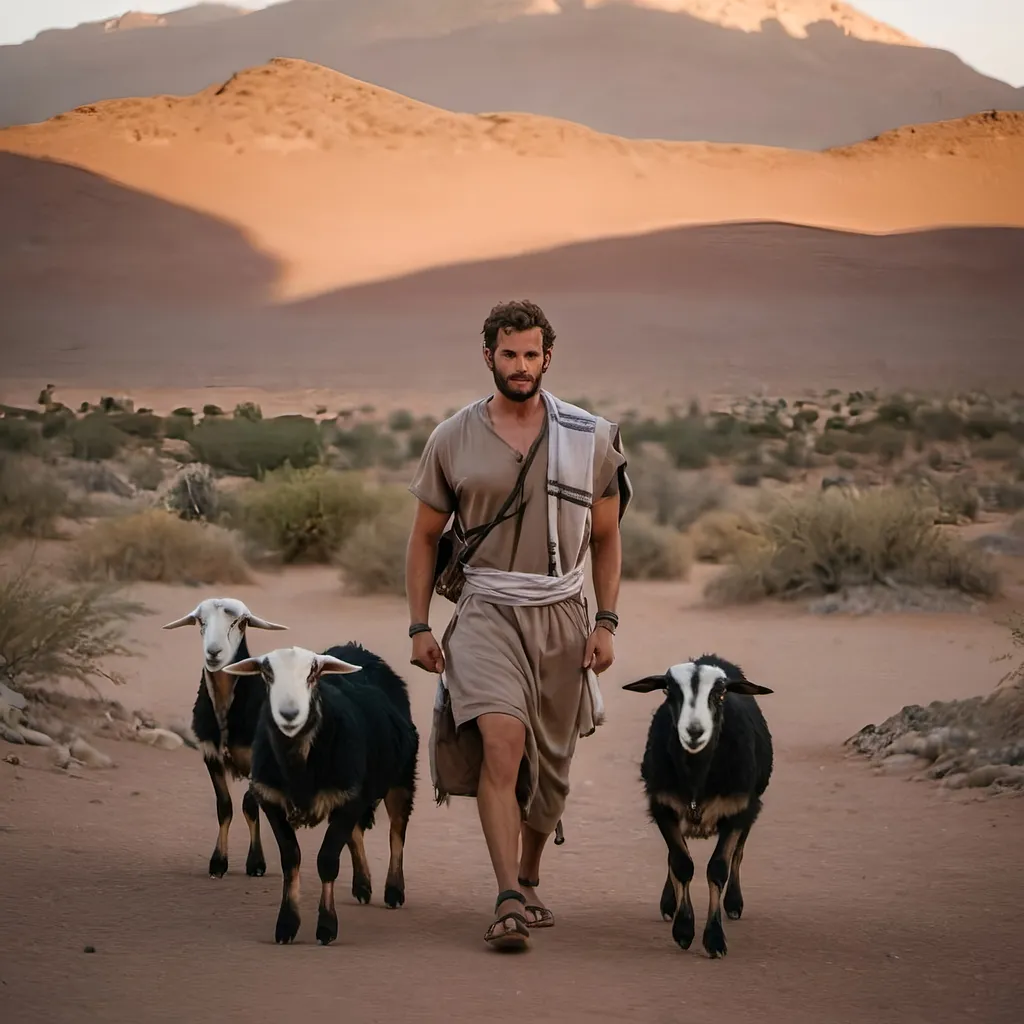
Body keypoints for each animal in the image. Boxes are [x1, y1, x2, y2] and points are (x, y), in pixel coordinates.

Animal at [160, 598, 286, 876]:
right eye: (200, 621)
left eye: (240, 622)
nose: (214, 652)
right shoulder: (211, 755)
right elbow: (224, 807)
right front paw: (218, 862)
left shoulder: (254, 760)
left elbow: (249, 806)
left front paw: (256, 863)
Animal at [223, 638, 415, 942]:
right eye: (267, 674)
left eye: (312, 674)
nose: (289, 713)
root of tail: (355, 649)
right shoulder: (272, 800)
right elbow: (291, 858)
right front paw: (286, 925)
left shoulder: (351, 796)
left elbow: (327, 860)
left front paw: (326, 927)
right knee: (356, 834)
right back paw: (362, 885)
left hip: (401, 778)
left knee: (396, 831)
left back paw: (393, 891)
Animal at [618, 655, 770, 958]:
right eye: (668, 691)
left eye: (720, 694)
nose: (694, 731)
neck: (697, 779)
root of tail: (709, 657)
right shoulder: (663, 807)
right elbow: (681, 864)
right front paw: (684, 930)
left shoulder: (738, 810)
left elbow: (719, 868)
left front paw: (714, 939)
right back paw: (668, 904)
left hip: (751, 808)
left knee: (738, 854)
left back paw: (734, 904)